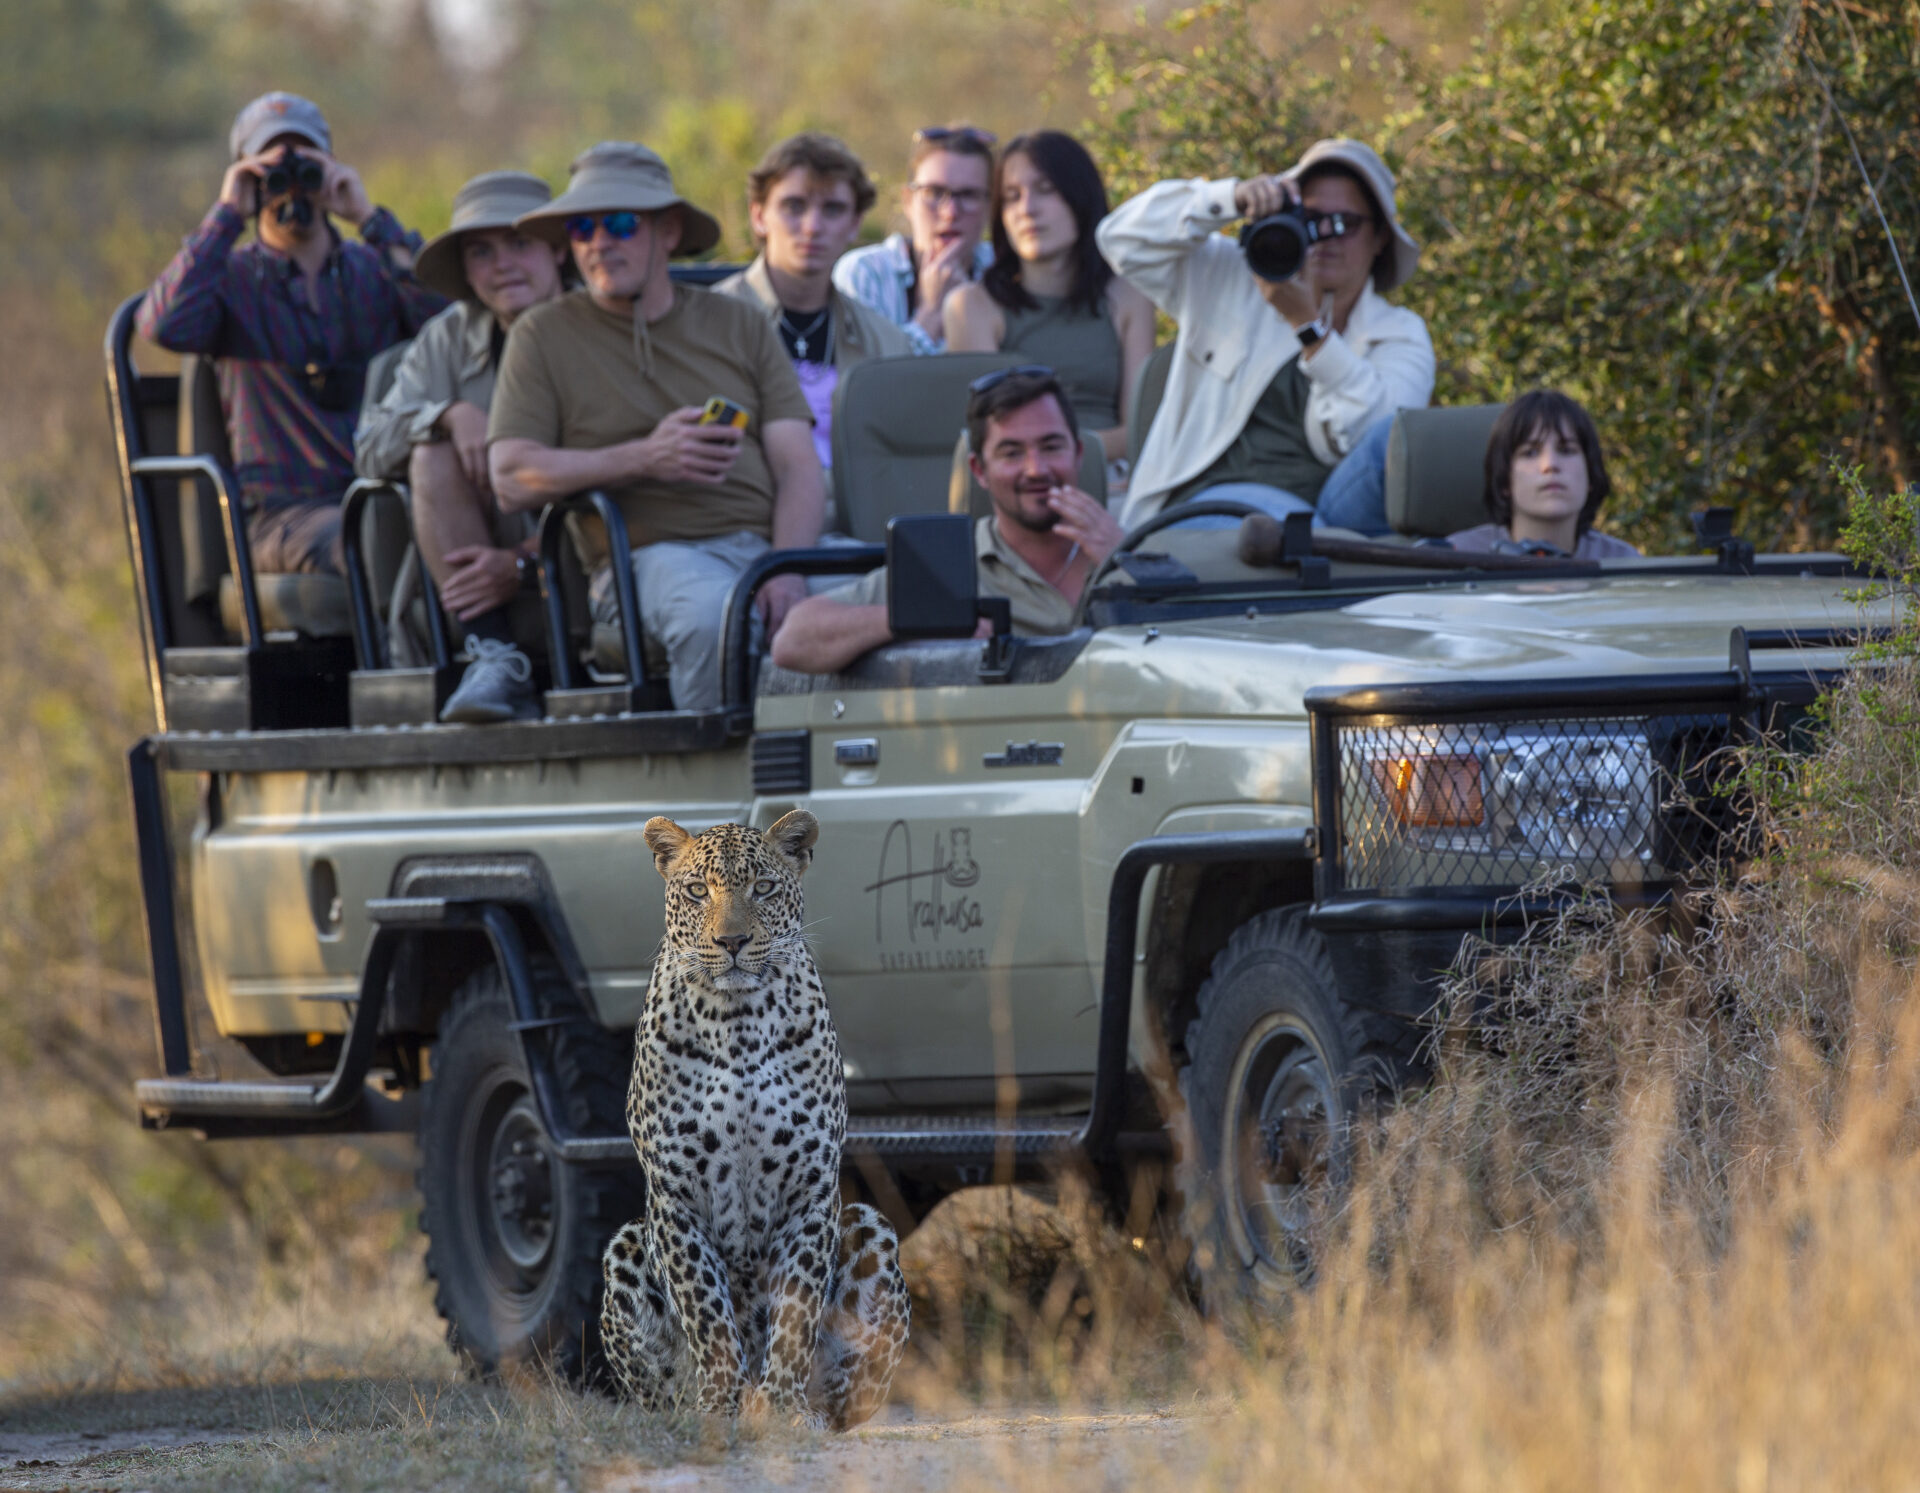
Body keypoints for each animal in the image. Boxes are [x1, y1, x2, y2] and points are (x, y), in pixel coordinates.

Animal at [600, 809, 910, 1430]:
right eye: (698, 891)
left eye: (763, 888)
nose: (733, 941)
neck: (736, 1023)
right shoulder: (676, 1197)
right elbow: (708, 1312)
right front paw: (719, 1408)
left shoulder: (811, 1191)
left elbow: (794, 1313)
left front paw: (786, 1407)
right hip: (626, 1245)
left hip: (870, 1226)